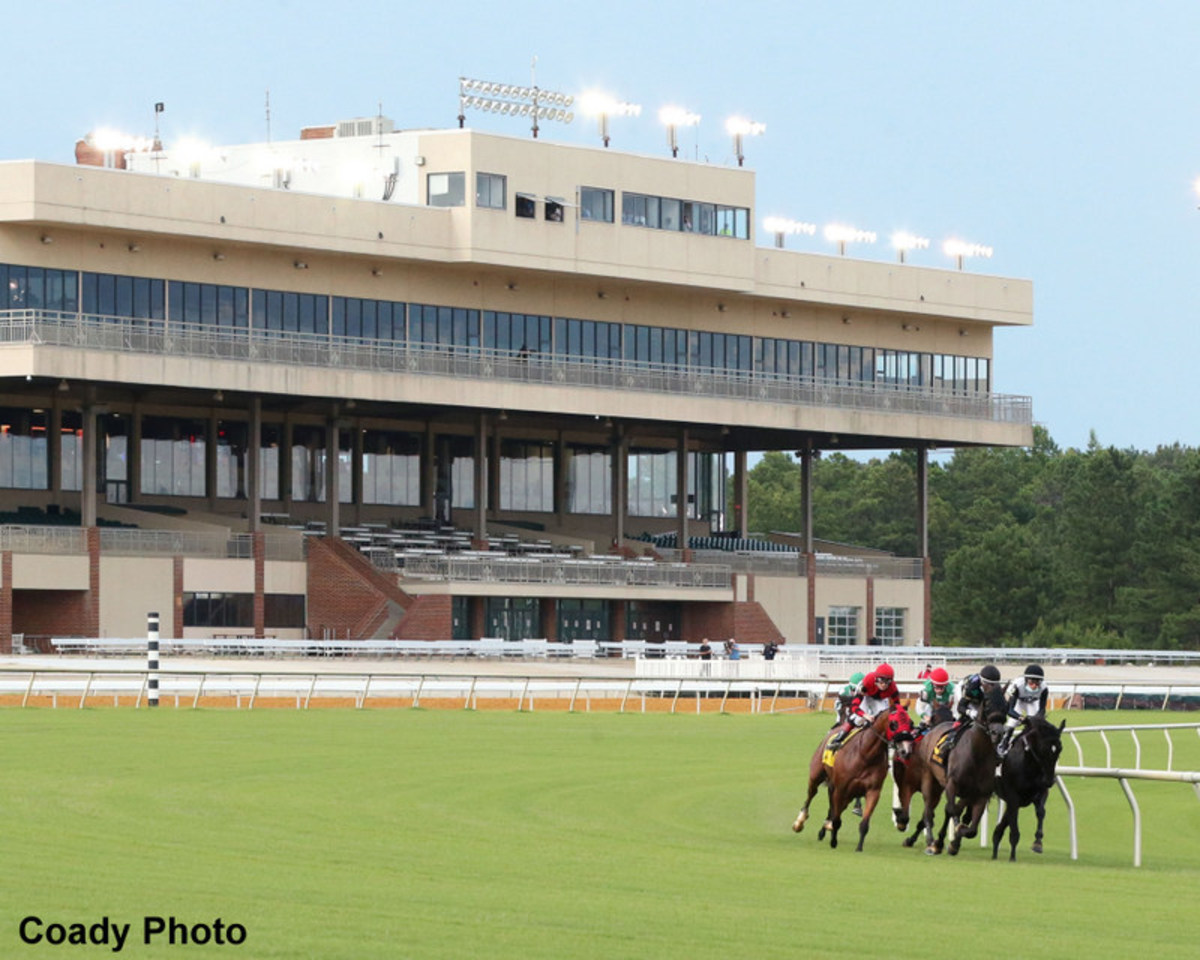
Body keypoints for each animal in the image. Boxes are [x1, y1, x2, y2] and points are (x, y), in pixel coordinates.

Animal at [792, 700, 912, 849]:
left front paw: (859, 847)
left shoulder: (872, 791)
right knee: (811, 795)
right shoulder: (841, 788)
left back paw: (824, 829)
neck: (865, 755)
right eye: (894, 724)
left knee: (833, 808)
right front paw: (833, 842)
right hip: (817, 776)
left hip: (845, 793)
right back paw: (799, 822)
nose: (906, 751)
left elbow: (864, 823)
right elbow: (836, 820)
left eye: (911, 723)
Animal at [988, 710, 1065, 864]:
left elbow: (1041, 812)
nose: (1050, 780)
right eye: (1044, 749)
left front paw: (1038, 843)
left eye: (1059, 749)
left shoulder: (1039, 792)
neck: (1028, 764)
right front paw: (1012, 856)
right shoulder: (1013, 796)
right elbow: (1013, 825)